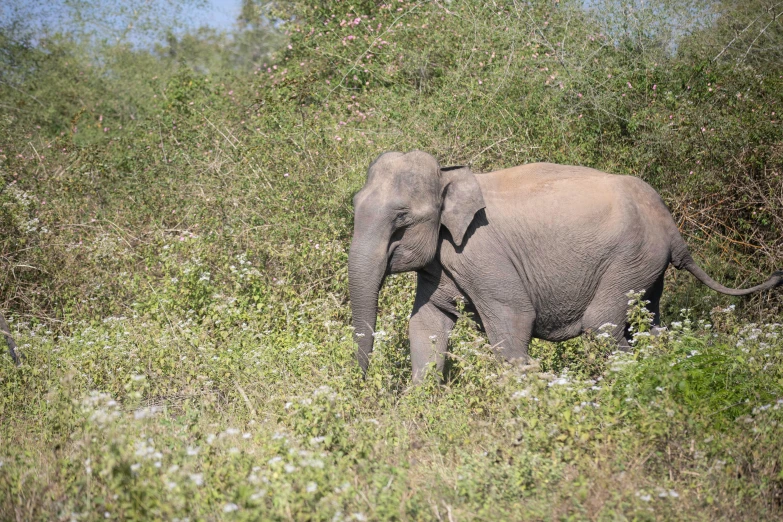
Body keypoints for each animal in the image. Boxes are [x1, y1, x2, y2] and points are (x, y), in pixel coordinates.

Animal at [350, 148, 783, 380]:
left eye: (402, 219)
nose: (365, 381)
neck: (447, 175)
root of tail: (673, 228)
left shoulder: (481, 252)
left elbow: (513, 320)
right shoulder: (441, 263)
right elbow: (426, 325)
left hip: (629, 259)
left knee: (602, 327)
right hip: (647, 268)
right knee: (650, 324)